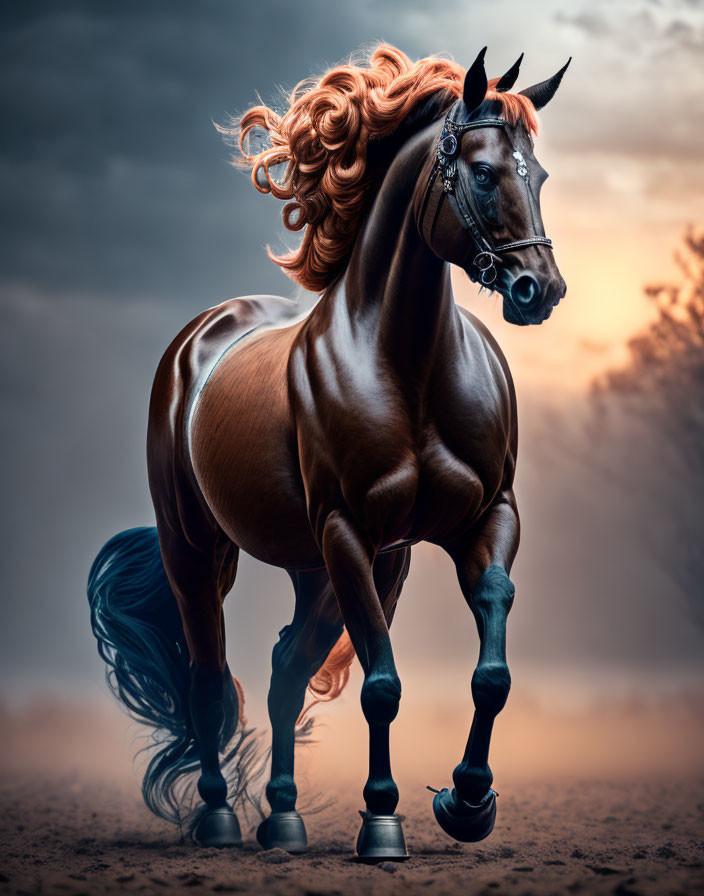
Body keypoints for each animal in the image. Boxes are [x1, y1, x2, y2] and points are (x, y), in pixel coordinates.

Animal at [88, 43, 568, 860]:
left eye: (535, 174)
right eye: (482, 173)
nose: (542, 290)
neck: (407, 368)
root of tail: (199, 337)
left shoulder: (477, 524)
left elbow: (490, 667)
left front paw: (467, 801)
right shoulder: (348, 531)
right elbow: (381, 682)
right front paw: (382, 822)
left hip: (320, 567)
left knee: (285, 671)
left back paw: (282, 819)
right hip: (199, 550)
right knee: (207, 675)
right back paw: (219, 819)